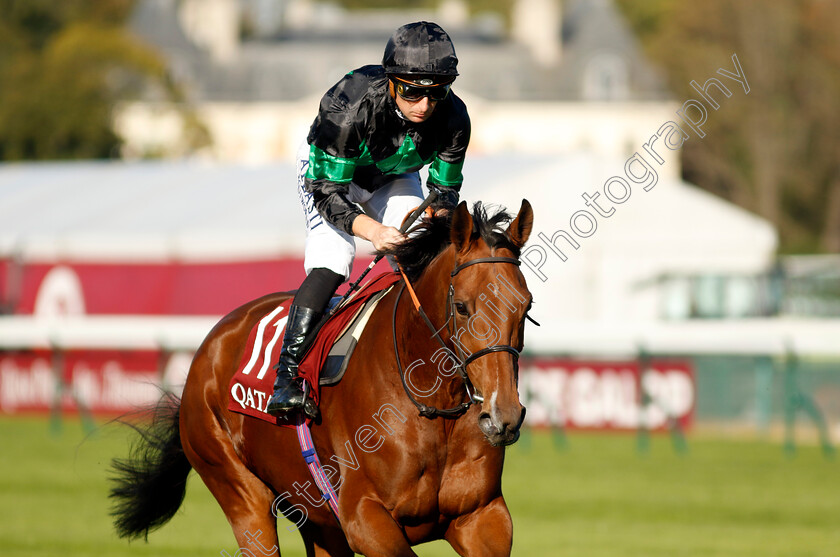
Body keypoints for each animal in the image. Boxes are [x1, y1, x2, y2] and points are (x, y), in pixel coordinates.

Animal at [110, 201, 532, 556]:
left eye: (525, 306)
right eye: (461, 307)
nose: (504, 416)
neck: (433, 403)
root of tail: (209, 346)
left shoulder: (483, 516)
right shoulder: (365, 518)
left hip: (316, 518)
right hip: (239, 491)